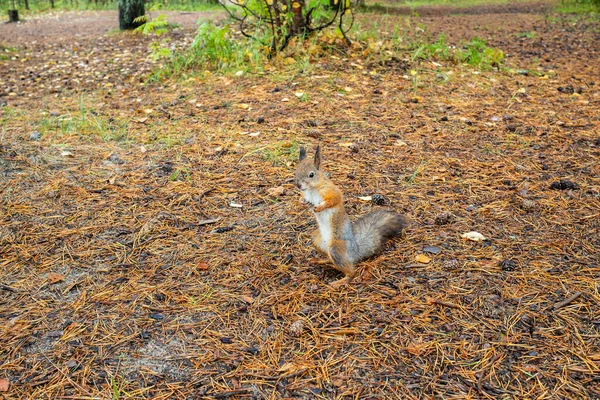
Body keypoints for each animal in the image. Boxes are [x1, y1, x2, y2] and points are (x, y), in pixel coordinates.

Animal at [296, 145, 408, 286]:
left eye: (311, 174)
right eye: (296, 171)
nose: (298, 185)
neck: (312, 190)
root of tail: (355, 251)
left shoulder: (332, 191)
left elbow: (334, 200)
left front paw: (320, 207)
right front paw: (302, 202)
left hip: (336, 248)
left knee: (351, 272)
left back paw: (339, 282)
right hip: (317, 240)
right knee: (330, 259)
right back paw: (320, 261)